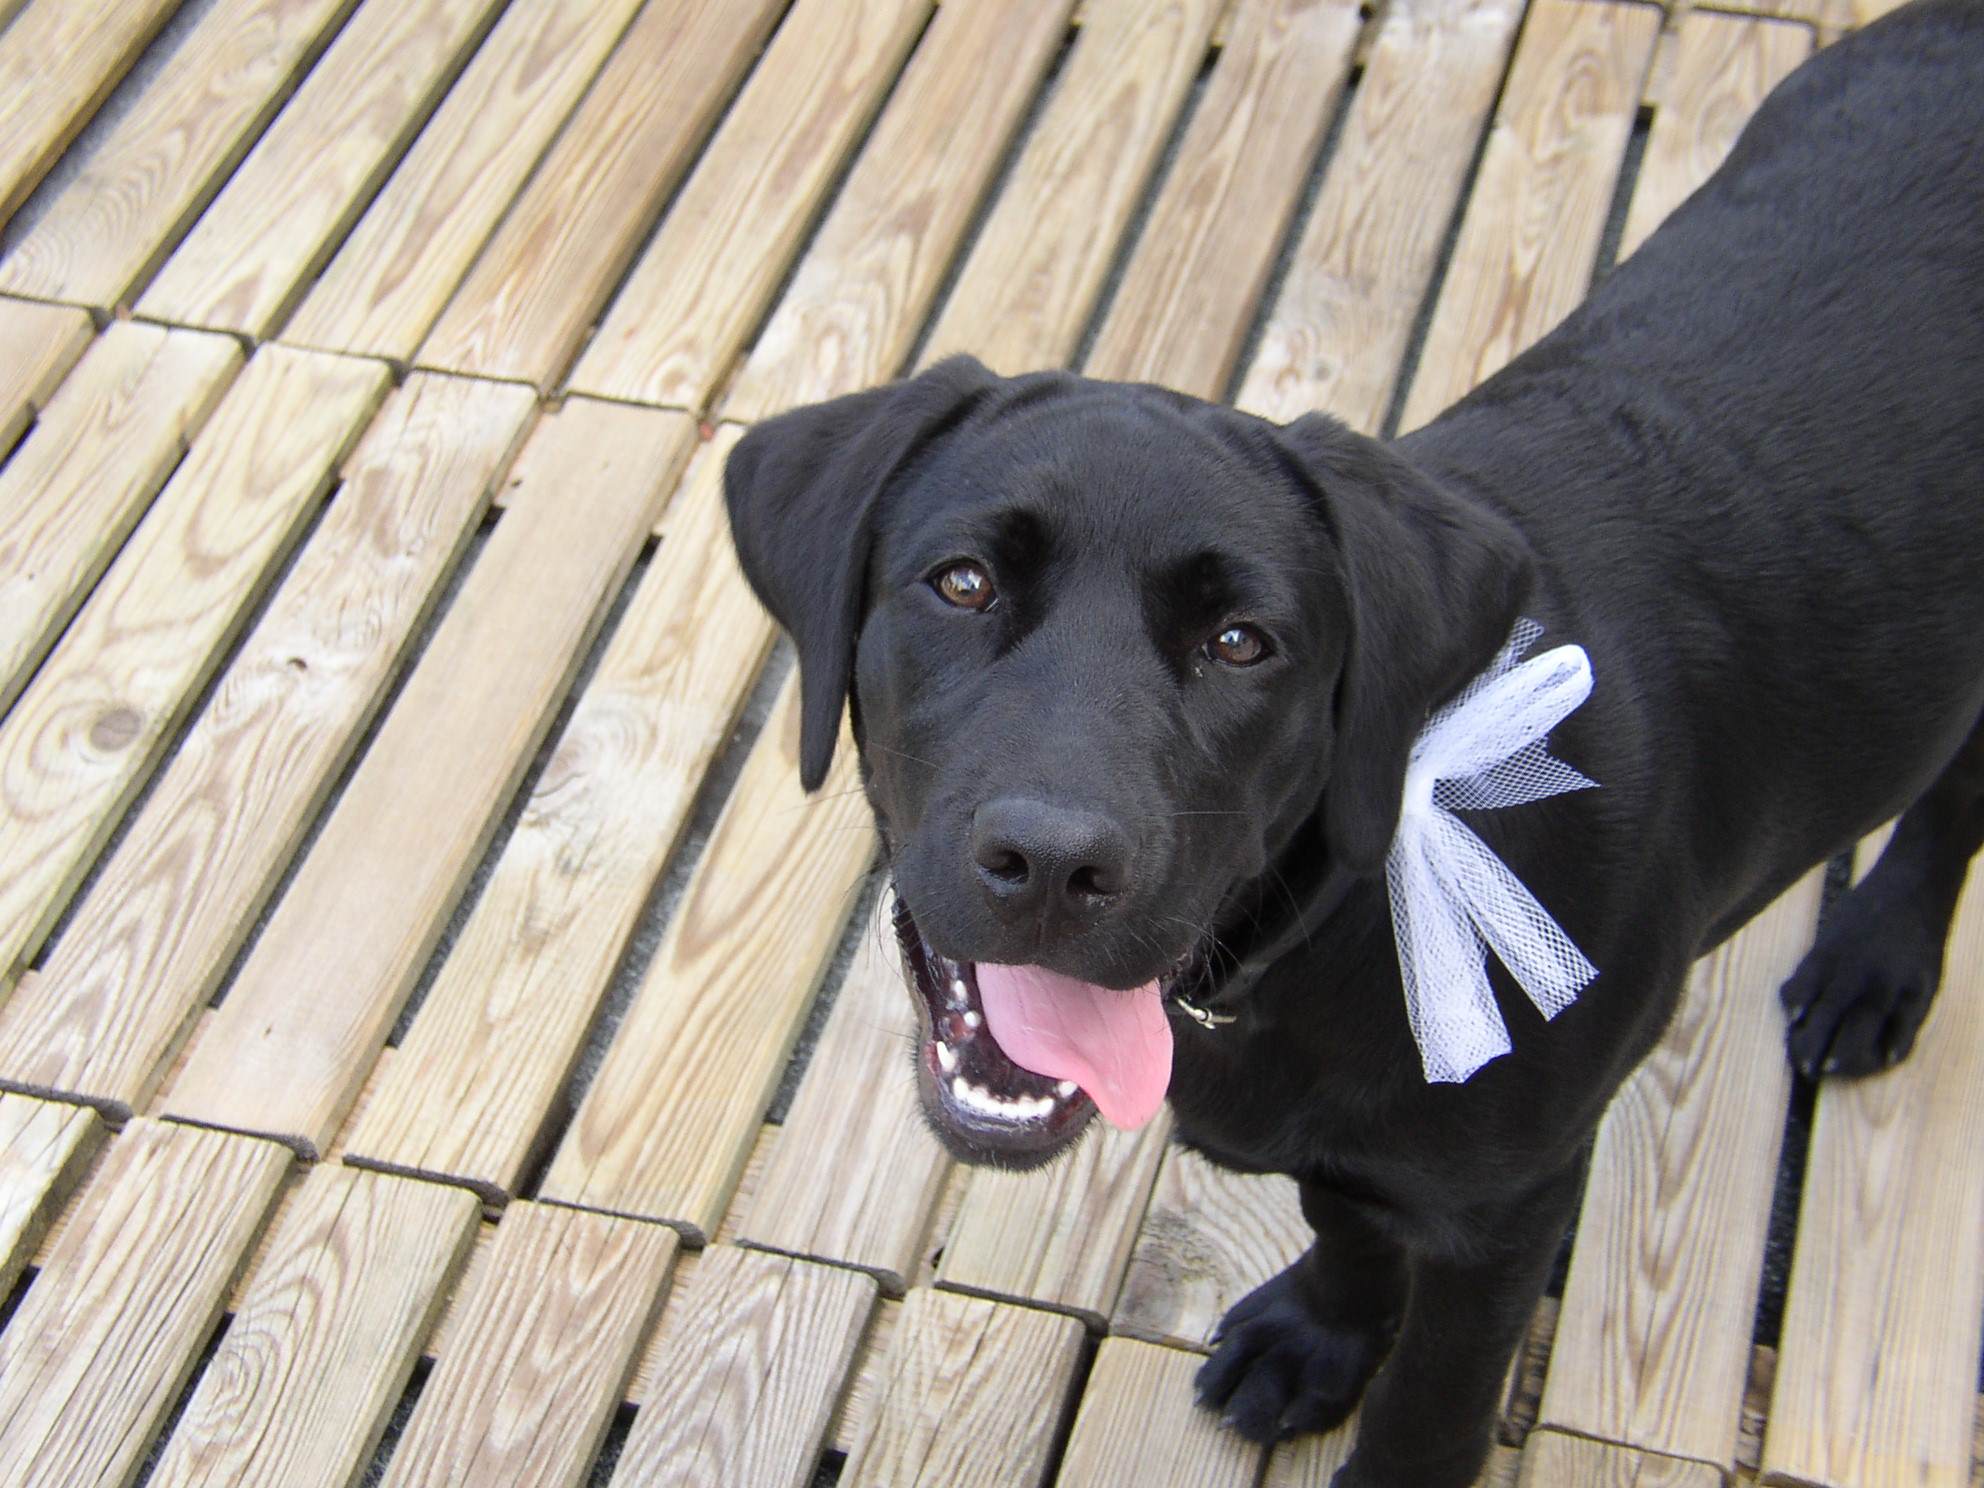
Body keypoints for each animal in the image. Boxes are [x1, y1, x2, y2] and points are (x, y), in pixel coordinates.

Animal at [723, 3, 1984, 1483]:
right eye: (962, 583)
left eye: (1241, 644)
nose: (1051, 864)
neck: (1339, 920)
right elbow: (1348, 1220)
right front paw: (1320, 1336)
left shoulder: (1509, 1212)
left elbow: (1432, 1401)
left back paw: (1874, 962)